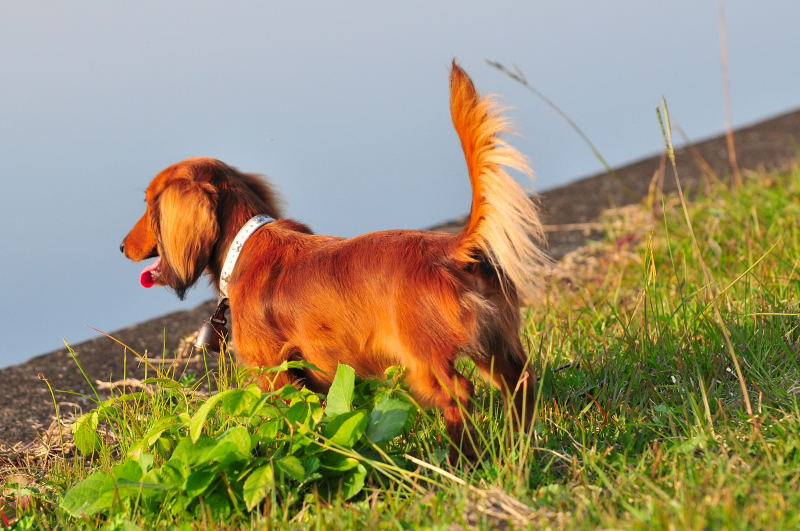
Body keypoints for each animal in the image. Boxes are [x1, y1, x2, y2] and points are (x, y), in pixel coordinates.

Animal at [122, 62, 552, 454]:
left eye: (147, 203)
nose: (121, 247)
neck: (246, 245)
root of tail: (452, 250)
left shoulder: (276, 374)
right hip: (496, 347)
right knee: (521, 382)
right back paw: (519, 449)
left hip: (426, 364)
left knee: (459, 397)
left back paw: (465, 460)